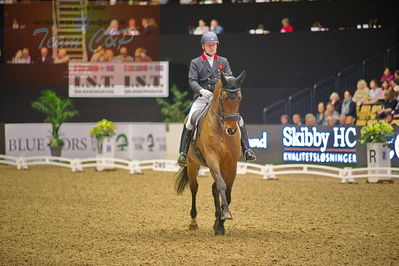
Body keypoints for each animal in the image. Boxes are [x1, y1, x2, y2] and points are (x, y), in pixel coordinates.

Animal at [176, 70, 245, 235]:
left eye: (239, 97)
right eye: (224, 98)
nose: (231, 130)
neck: (221, 129)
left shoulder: (231, 164)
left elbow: (228, 191)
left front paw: (220, 223)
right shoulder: (213, 159)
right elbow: (221, 185)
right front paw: (224, 215)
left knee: (214, 188)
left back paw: (216, 220)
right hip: (192, 164)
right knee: (194, 188)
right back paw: (193, 222)